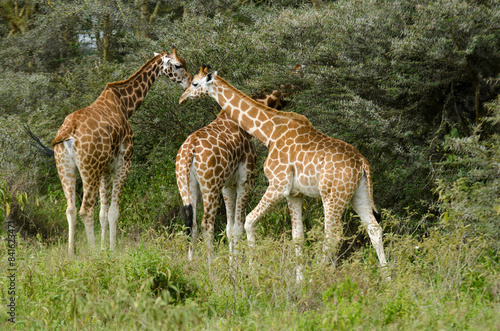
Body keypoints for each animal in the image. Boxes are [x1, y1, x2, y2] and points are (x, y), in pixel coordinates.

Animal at [51, 48, 190, 256]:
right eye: (178, 65)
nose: (190, 83)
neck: (125, 104)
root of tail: (69, 131)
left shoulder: (105, 170)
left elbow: (103, 213)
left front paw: (104, 247)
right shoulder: (123, 163)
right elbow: (113, 212)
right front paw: (111, 249)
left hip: (66, 169)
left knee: (71, 209)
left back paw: (71, 253)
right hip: (89, 170)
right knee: (85, 209)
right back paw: (92, 252)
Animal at [181, 67, 390, 282]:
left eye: (195, 83)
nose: (182, 98)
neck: (270, 133)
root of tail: (363, 163)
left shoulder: (278, 185)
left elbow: (248, 221)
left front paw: (253, 272)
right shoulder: (294, 193)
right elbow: (298, 236)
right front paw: (299, 282)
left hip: (332, 196)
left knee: (333, 235)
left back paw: (318, 277)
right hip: (358, 194)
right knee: (374, 229)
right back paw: (387, 278)